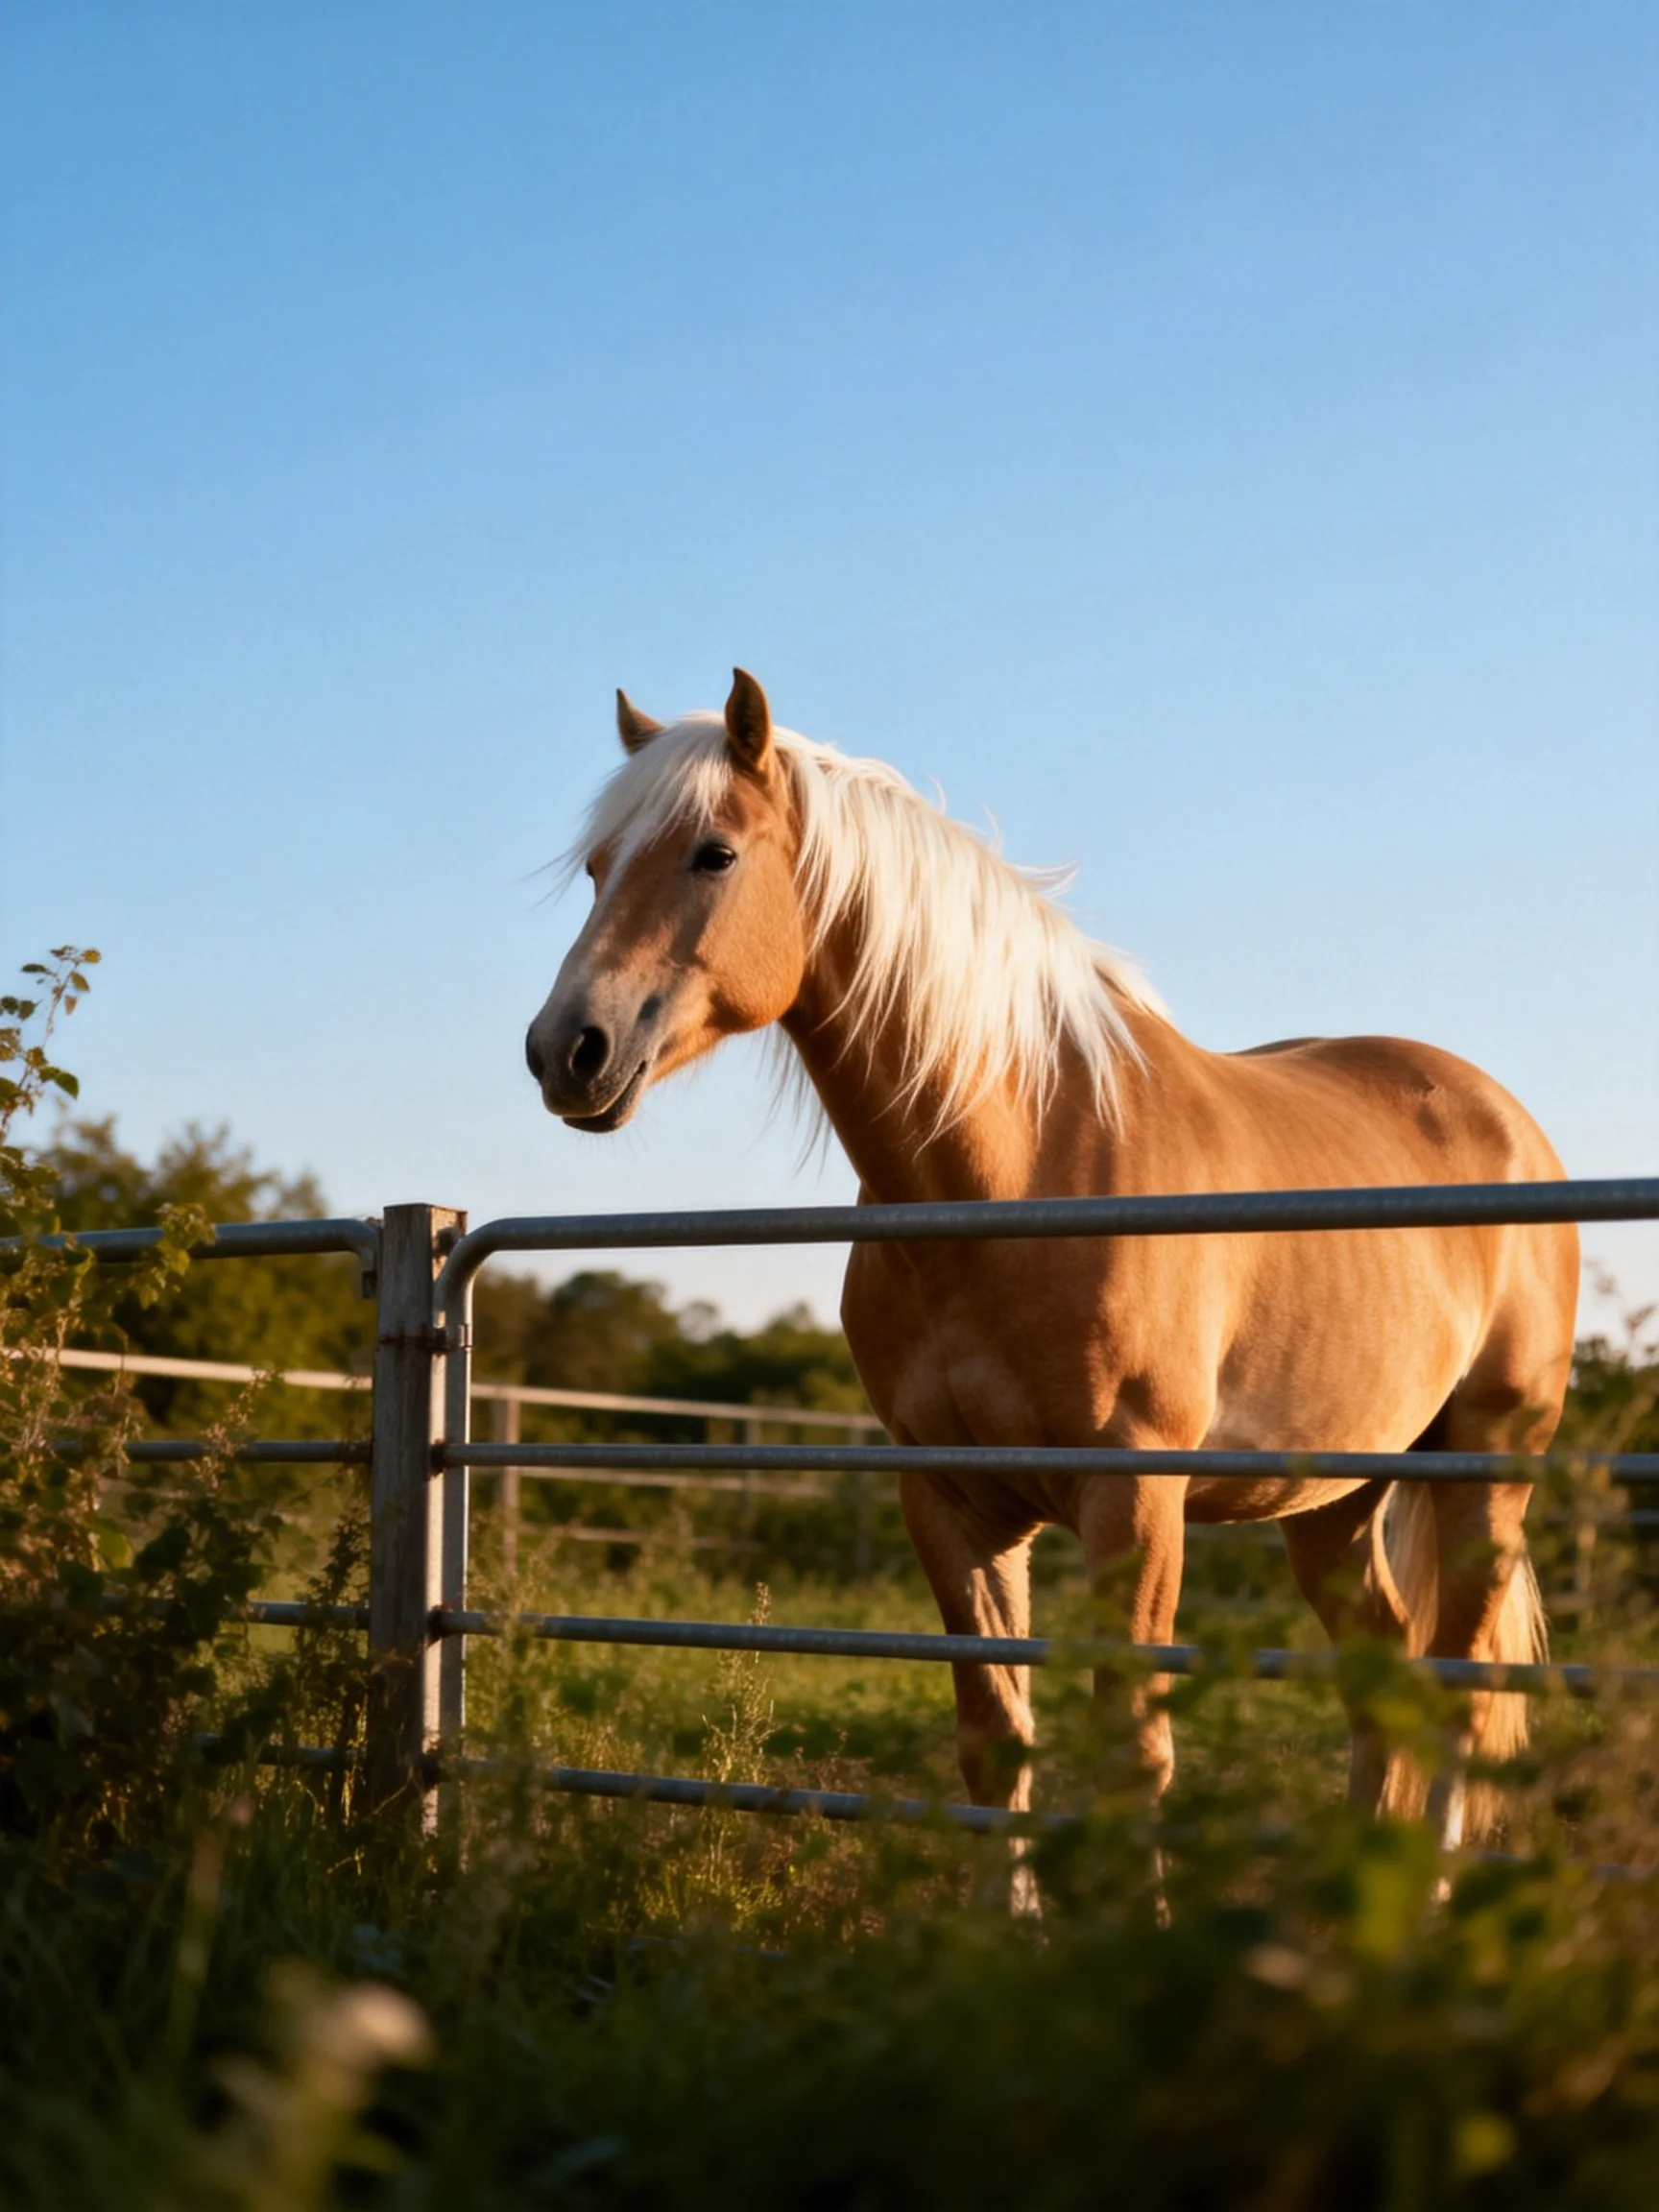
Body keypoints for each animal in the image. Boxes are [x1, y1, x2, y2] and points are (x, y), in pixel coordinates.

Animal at [524, 668, 1578, 1854]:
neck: (1016, 1175)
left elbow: (1133, 1757)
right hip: (1336, 1499)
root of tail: (1503, 1118)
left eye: (713, 854)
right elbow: (998, 1746)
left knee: (1460, 1693)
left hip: (1486, 1473)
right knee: (1385, 1680)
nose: (566, 1050)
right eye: (597, 868)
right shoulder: (952, 1504)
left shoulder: (1136, 1503)